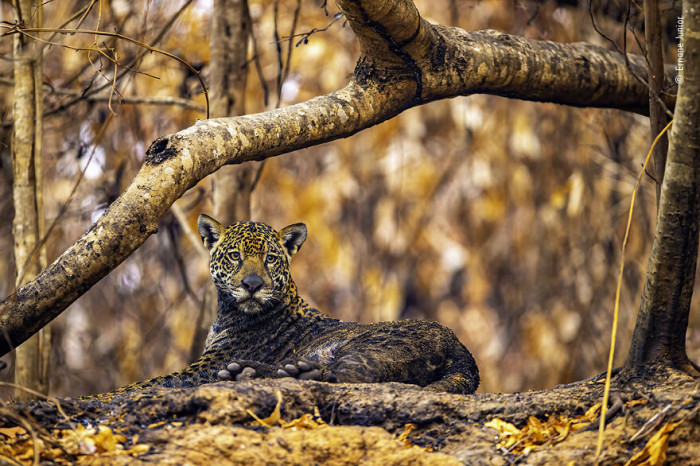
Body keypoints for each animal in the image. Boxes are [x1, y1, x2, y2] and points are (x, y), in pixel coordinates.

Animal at [101, 215, 479, 397]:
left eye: (270, 259)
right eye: (235, 256)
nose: (252, 285)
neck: (227, 313)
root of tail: (460, 346)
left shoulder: (206, 366)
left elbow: (147, 383)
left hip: (367, 346)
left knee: (354, 378)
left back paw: (285, 372)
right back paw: (252, 372)